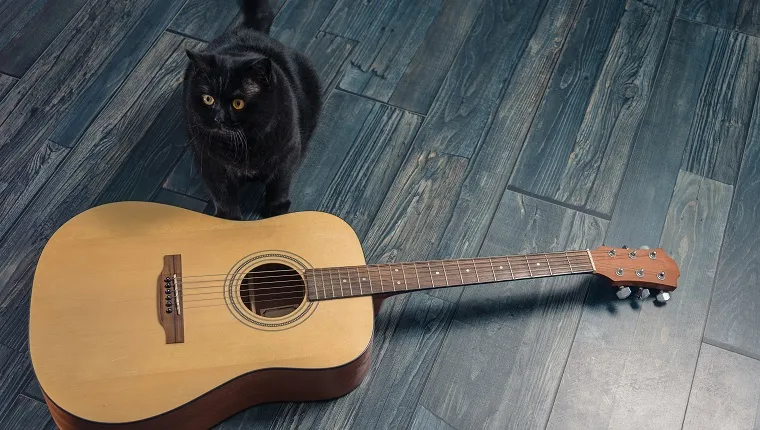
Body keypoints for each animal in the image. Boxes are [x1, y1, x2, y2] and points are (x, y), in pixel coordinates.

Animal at [184, 0, 320, 220]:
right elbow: (222, 193)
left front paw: (276, 210)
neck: (244, 145)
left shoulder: (288, 149)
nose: (219, 118)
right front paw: (229, 219)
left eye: (238, 103)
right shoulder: (209, 161)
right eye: (208, 99)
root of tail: (247, 30)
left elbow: (280, 183)